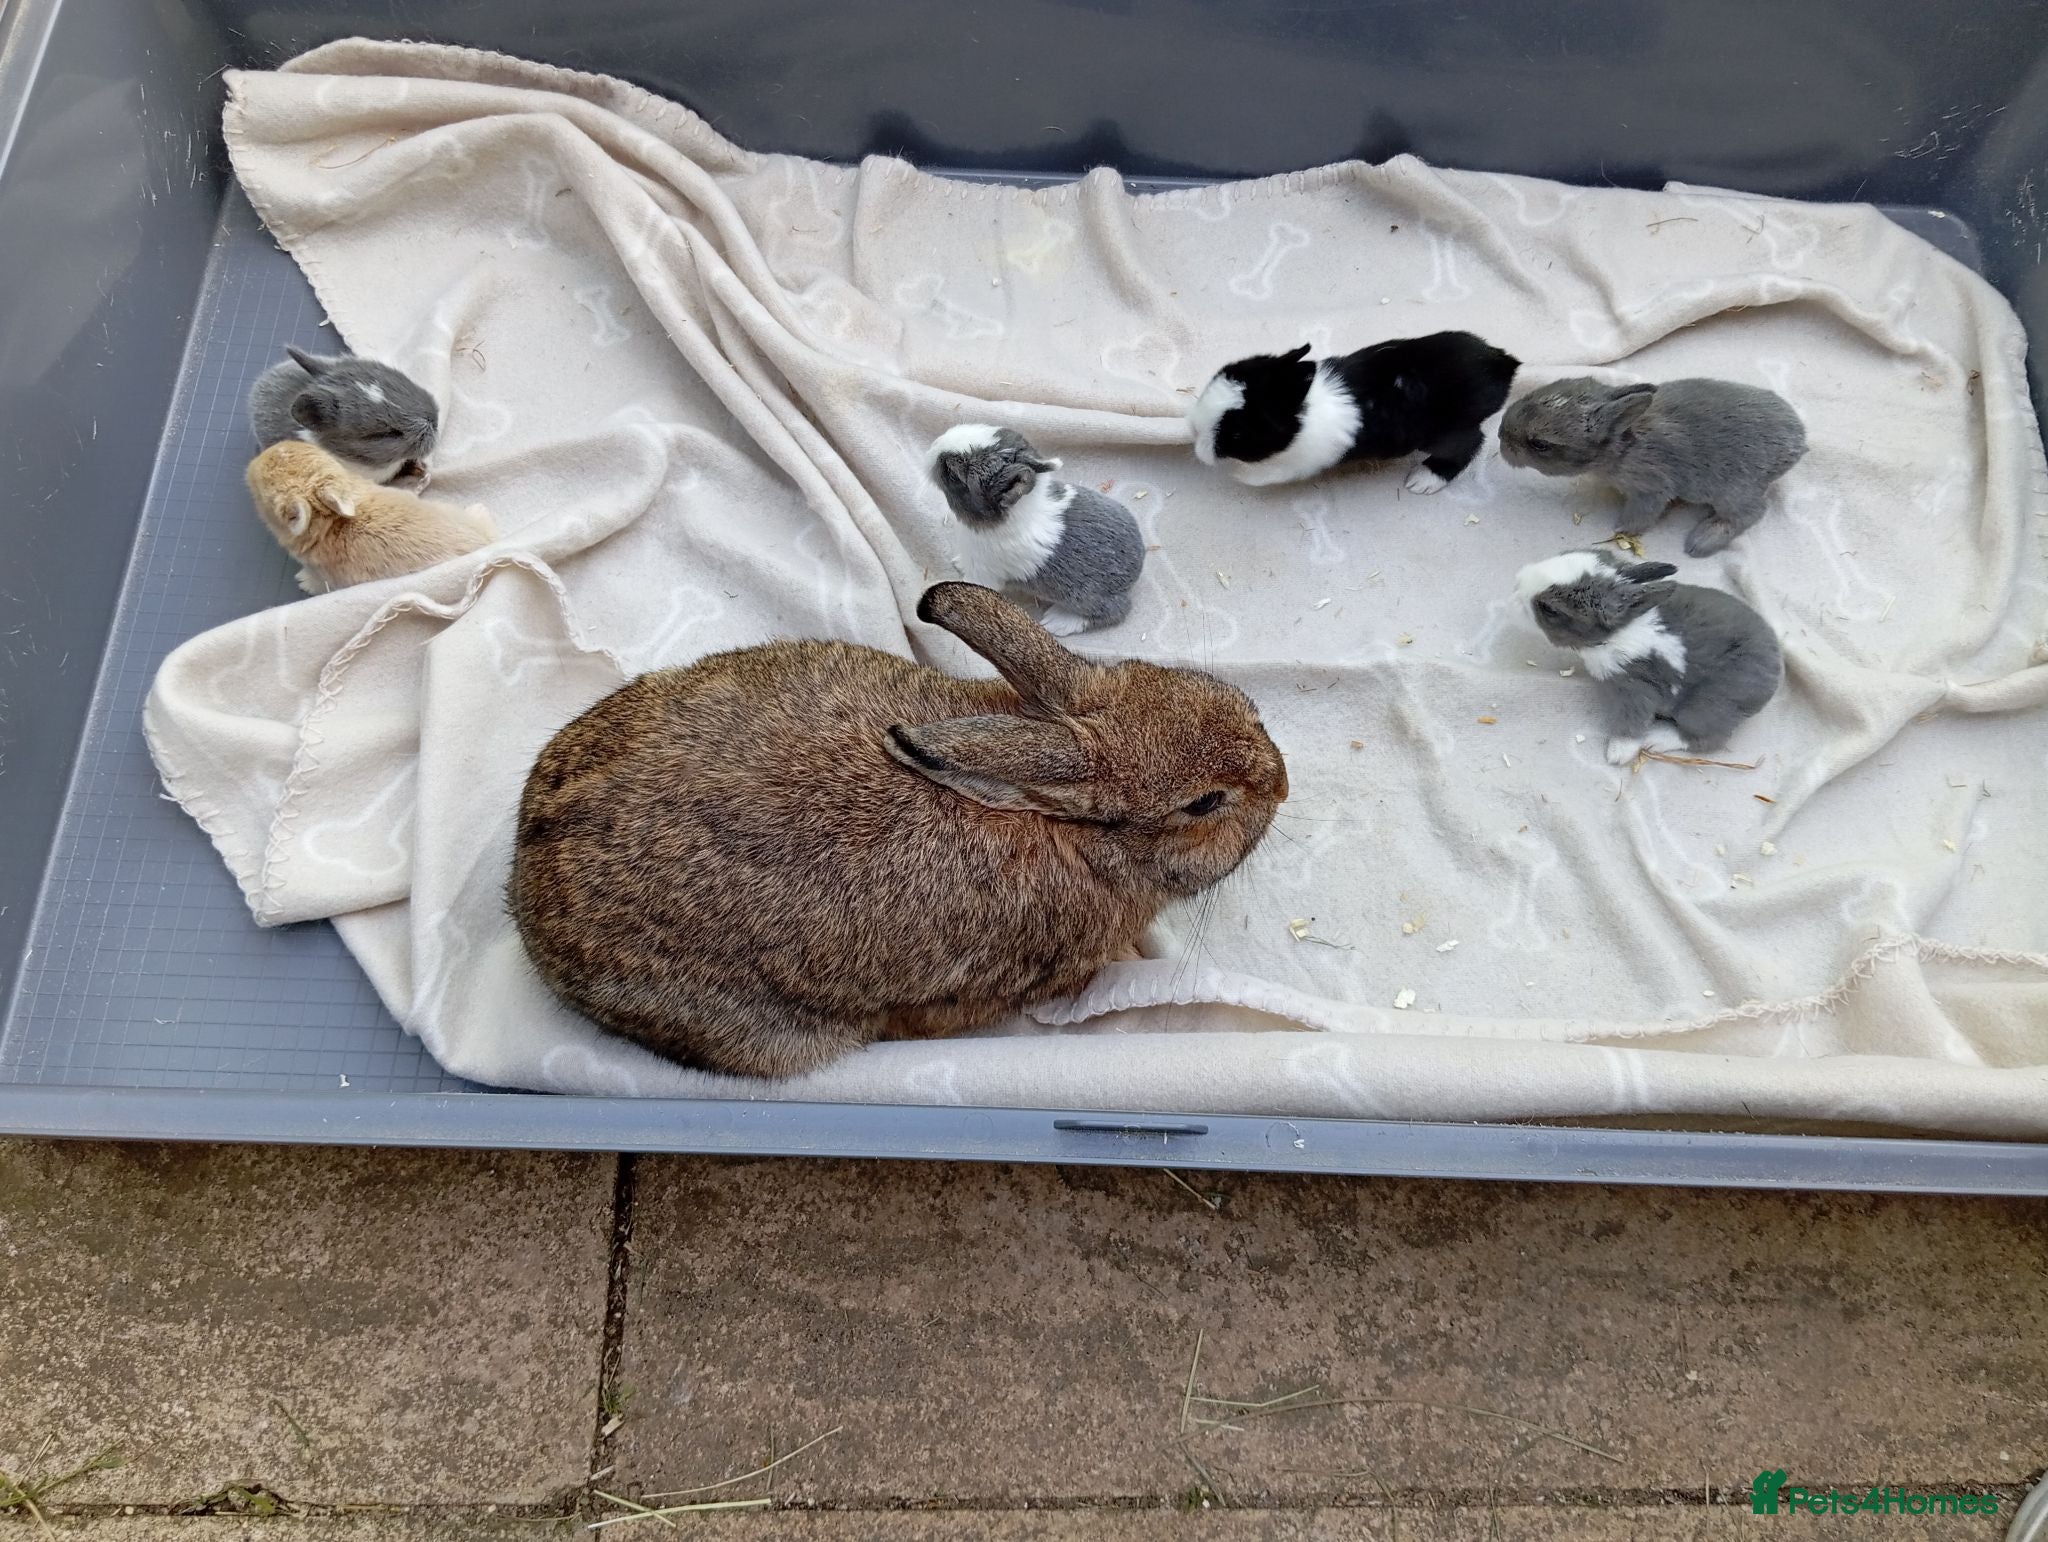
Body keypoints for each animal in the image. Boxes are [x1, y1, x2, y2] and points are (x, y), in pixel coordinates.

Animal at [927, 424, 1145, 637]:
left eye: (953, 473)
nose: (934, 445)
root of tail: (1138, 565)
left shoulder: (983, 573)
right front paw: (958, 563)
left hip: (1087, 599)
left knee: (1116, 612)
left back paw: (1058, 622)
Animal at [1188, 331, 1519, 493]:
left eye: (1237, 432)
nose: (1193, 428)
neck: (1301, 411)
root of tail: (1501, 364)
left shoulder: (1294, 463)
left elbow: (1263, 475)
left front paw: (1240, 476)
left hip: (1448, 432)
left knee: (1470, 444)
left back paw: (1423, 481)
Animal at [1498, 376, 1807, 556]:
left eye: (1539, 444)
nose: (1500, 436)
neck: (1624, 441)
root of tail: (1798, 443)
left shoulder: (1651, 489)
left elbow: (1641, 514)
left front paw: (1621, 529)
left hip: (1733, 492)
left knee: (1751, 513)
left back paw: (1701, 542)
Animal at [1516, 548, 1783, 766]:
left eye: (1550, 609)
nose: (1517, 585)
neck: (1619, 631)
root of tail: (1774, 675)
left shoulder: (1636, 689)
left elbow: (1631, 723)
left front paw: (1618, 753)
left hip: (1705, 710)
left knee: (1706, 739)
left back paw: (1657, 740)